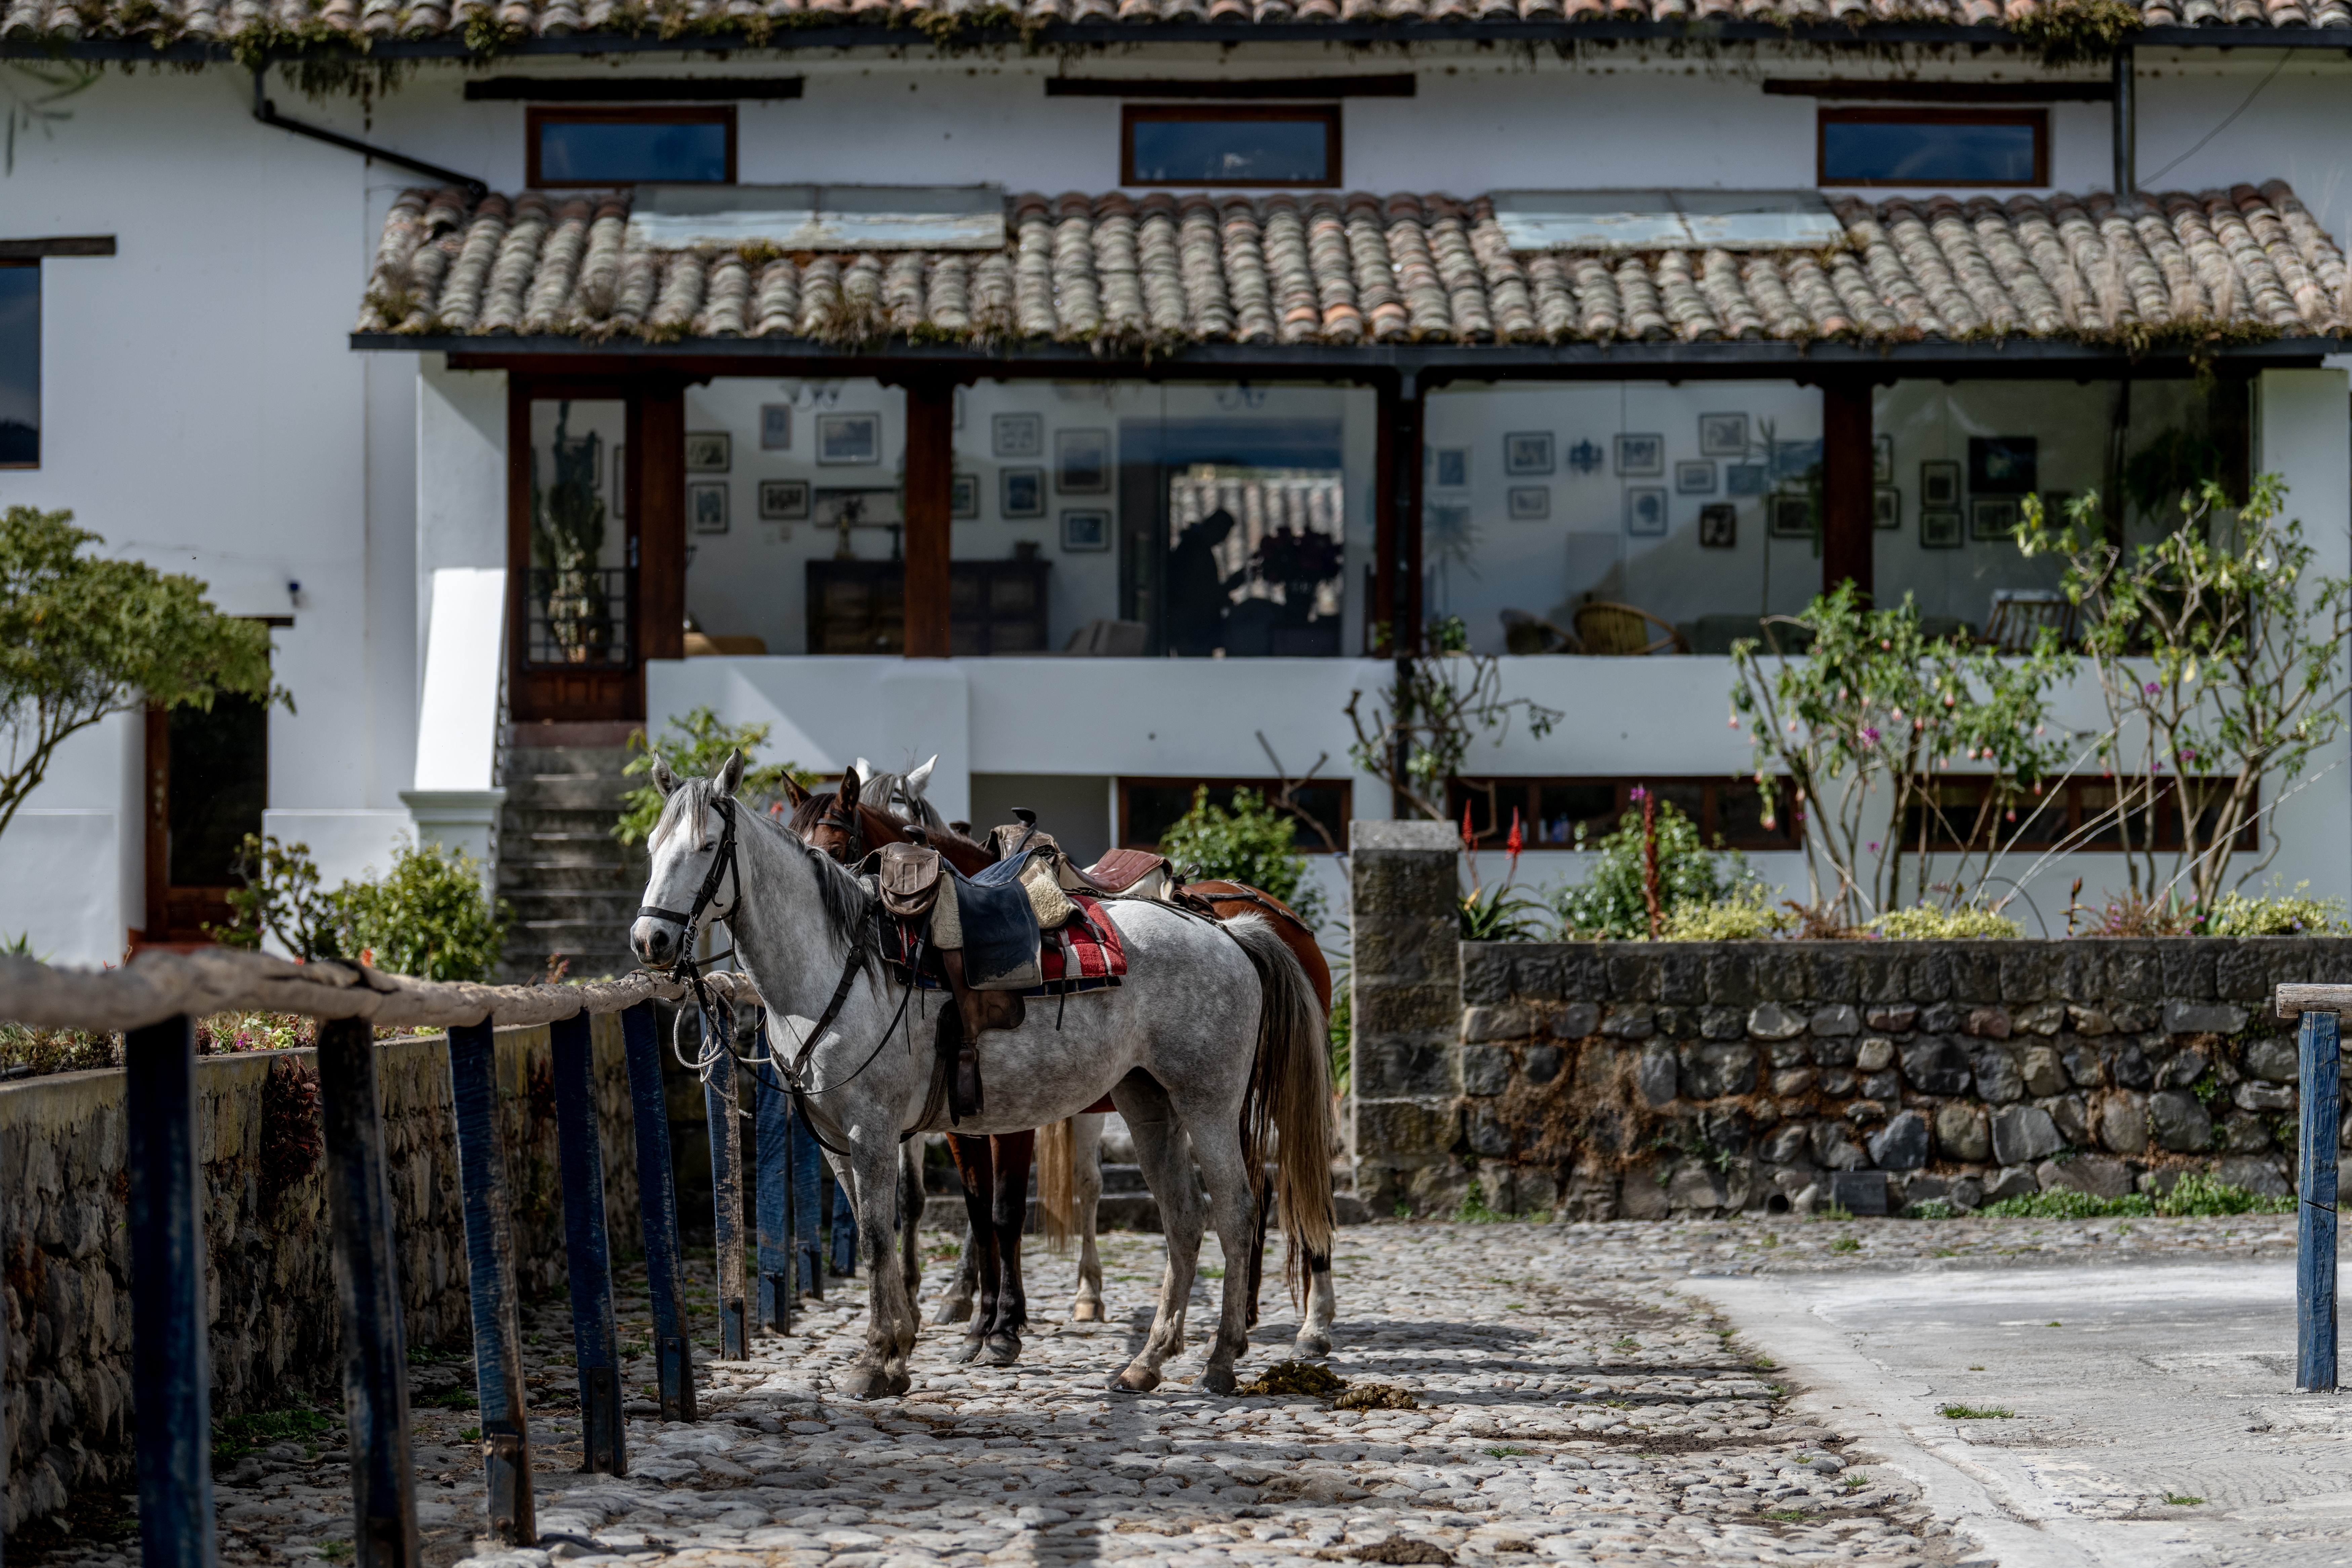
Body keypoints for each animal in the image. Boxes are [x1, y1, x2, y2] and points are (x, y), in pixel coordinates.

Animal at [633, 752, 1333, 1398]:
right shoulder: (843, 1140)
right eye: (651, 848)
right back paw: (1148, 1360)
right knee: (1184, 1218)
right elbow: (890, 1225)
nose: (650, 942)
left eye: (704, 847)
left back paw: (1234, 1351)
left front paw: (885, 1358)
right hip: (1148, 1102)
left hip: (1211, 1103)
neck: (846, 966)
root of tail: (1233, 933)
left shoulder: (880, 1131)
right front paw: (911, 1344)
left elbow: (901, 1233)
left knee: (1242, 1210)